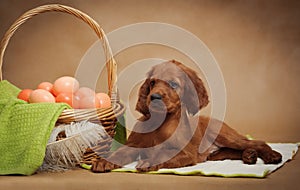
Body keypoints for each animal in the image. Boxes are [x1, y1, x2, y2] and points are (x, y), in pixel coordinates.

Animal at [91, 60, 282, 173]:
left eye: (173, 84)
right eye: (152, 82)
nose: (154, 97)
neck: (161, 123)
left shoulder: (186, 153)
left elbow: (164, 154)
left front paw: (149, 162)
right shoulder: (133, 146)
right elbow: (119, 153)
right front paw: (103, 161)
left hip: (225, 136)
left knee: (257, 142)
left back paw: (271, 156)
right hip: (215, 154)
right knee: (235, 151)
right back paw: (249, 156)